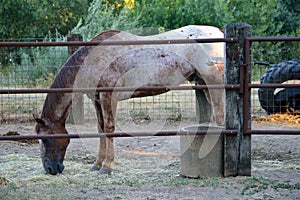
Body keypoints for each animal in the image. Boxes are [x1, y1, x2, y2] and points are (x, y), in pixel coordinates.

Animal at [34, 25, 224, 175]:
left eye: (45, 139)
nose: (50, 169)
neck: (93, 59)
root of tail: (218, 33)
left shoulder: (109, 96)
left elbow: (109, 128)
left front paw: (107, 166)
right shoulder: (97, 99)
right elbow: (100, 128)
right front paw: (97, 164)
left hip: (213, 82)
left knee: (220, 117)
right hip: (202, 82)